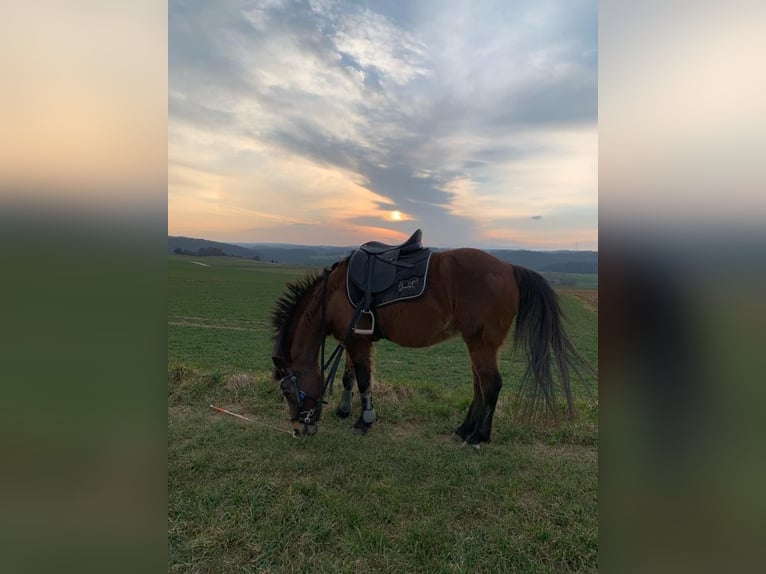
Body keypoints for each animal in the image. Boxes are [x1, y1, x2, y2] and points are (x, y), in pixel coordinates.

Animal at [271, 230, 589, 446]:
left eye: (287, 391)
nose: (298, 429)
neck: (334, 291)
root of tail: (509, 268)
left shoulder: (358, 341)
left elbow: (363, 379)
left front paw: (364, 421)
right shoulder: (354, 339)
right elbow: (350, 377)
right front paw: (344, 410)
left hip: (482, 344)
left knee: (491, 385)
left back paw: (478, 438)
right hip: (477, 344)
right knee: (479, 386)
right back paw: (464, 430)